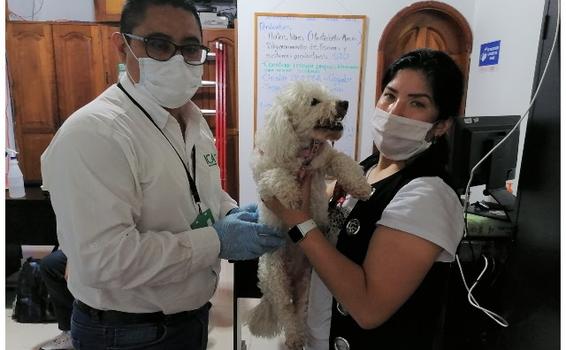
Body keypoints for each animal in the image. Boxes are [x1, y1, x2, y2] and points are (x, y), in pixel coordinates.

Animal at [248, 81, 372, 348]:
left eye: (328, 95)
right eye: (314, 102)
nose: (344, 103)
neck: (301, 153)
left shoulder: (324, 161)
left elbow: (342, 160)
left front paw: (360, 185)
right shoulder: (265, 181)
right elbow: (277, 175)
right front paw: (292, 195)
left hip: (307, 281)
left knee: (299, 309)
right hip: (276, 276)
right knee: (286, 311)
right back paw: (294, 337)